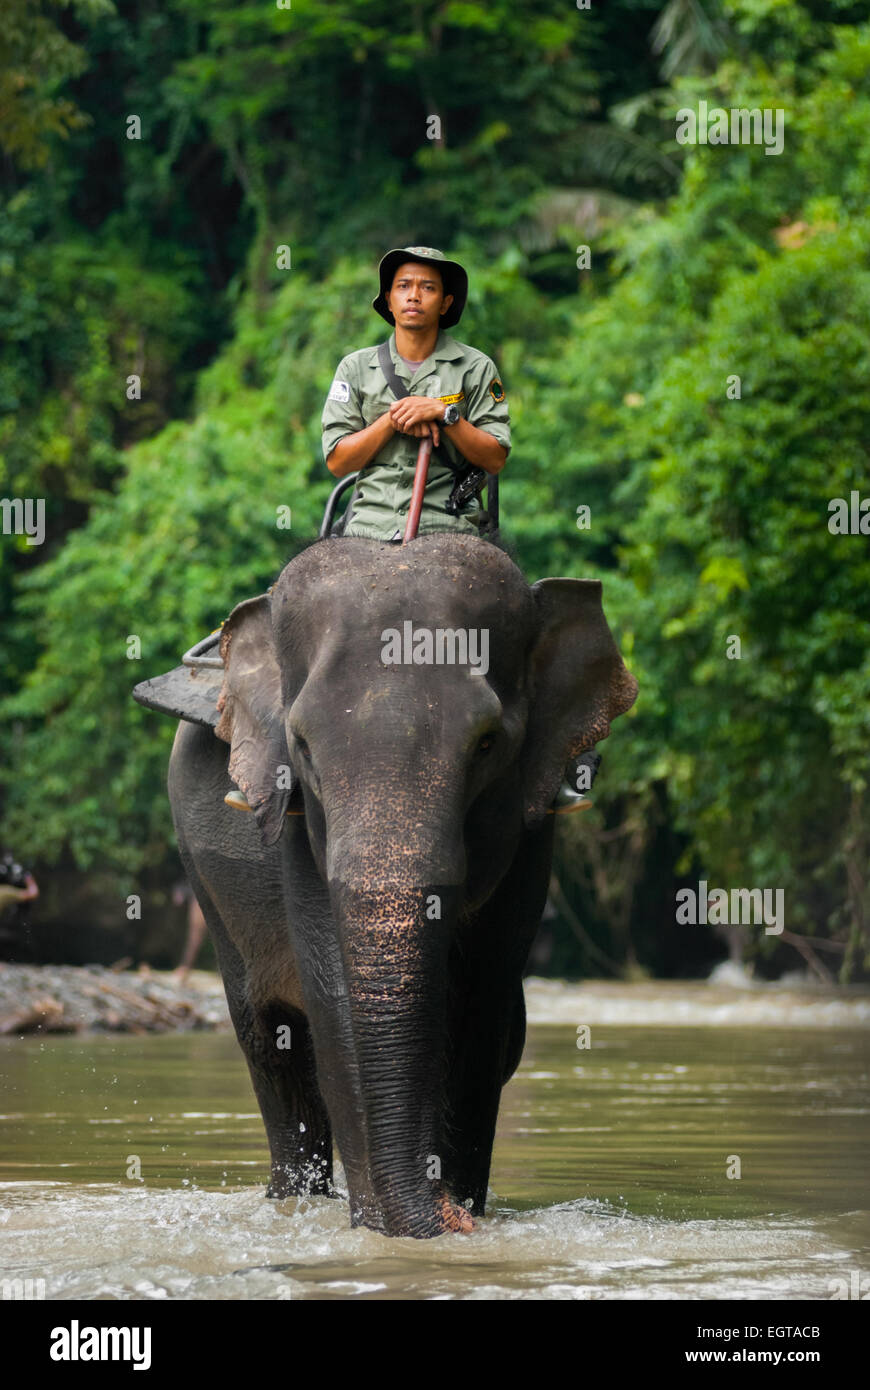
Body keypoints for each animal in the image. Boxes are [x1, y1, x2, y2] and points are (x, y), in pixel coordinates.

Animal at [155, 530, 633, 1239]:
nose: (452, 1214)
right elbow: (334, 1009)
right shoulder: (295, 826)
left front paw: (458, 1211)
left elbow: (482, 1010)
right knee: (269, 1043)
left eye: (487, 743)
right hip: (207, 884)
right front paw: (384, 1229)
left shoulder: (533, 828)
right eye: (301, 744)